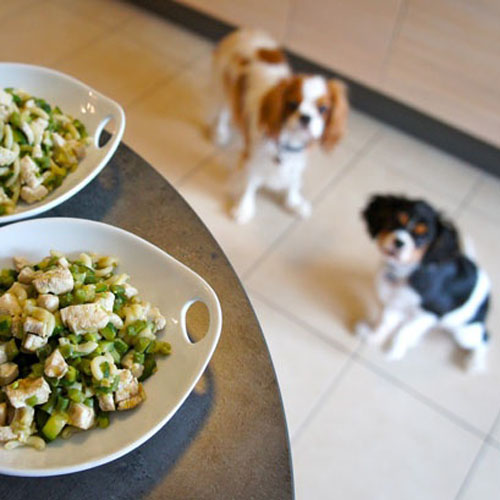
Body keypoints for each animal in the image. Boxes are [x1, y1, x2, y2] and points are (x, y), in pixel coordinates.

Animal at [211, 27, 348, 223]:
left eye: (323, 109)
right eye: (292, 104)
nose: (305, 117)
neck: (289, 140)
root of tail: (248, 31)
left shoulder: (297, 159)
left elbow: (293, 181)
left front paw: (294, 203)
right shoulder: (254, 156)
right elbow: (249, 181)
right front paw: (244, 208)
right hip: (224, 84)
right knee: (223, 109)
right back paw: (220, 134)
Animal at [358, 195, 490, 372]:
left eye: (422, 236)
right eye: (395, 220)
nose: (399, 242)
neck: (405, 273)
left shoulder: (431, 312)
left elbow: (404, 331)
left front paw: (394, 351)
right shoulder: (395, 302)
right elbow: (386, 322)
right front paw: (374, 338)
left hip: (466, 331)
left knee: (485, 338)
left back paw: (476, 363)